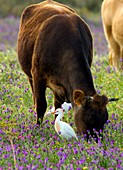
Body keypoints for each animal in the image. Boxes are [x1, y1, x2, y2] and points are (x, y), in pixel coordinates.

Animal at [17, 0, 117, 135]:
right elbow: (41, 105)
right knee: (36, 99)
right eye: (89, 117)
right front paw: (37, 129)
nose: (96, 138)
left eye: (105, 118)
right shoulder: (38, 75)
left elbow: (58, 108)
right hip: (30, 76)